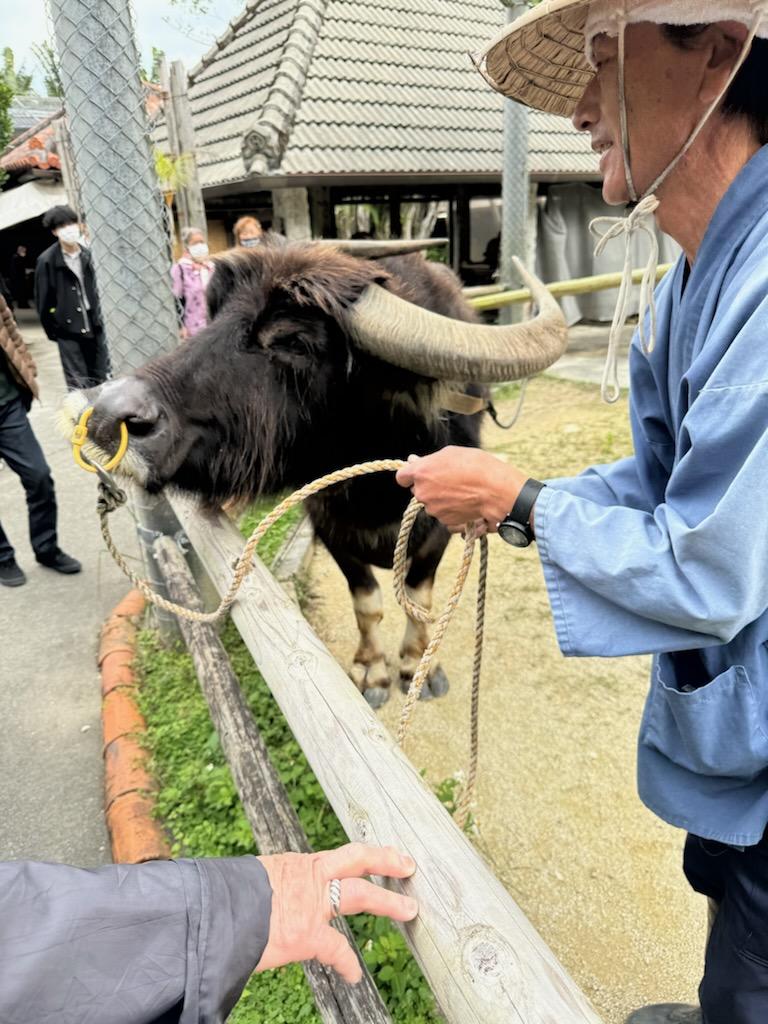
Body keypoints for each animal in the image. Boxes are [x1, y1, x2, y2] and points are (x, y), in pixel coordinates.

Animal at [63, 241, 567, 708]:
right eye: (214, 314)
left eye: (293, 341)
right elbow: (367, 603)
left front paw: (415, 667)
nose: (106, 415)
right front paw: (374, 672)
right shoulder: (330, 528)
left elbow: (419, 599)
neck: (376, 488)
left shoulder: (442, 529)